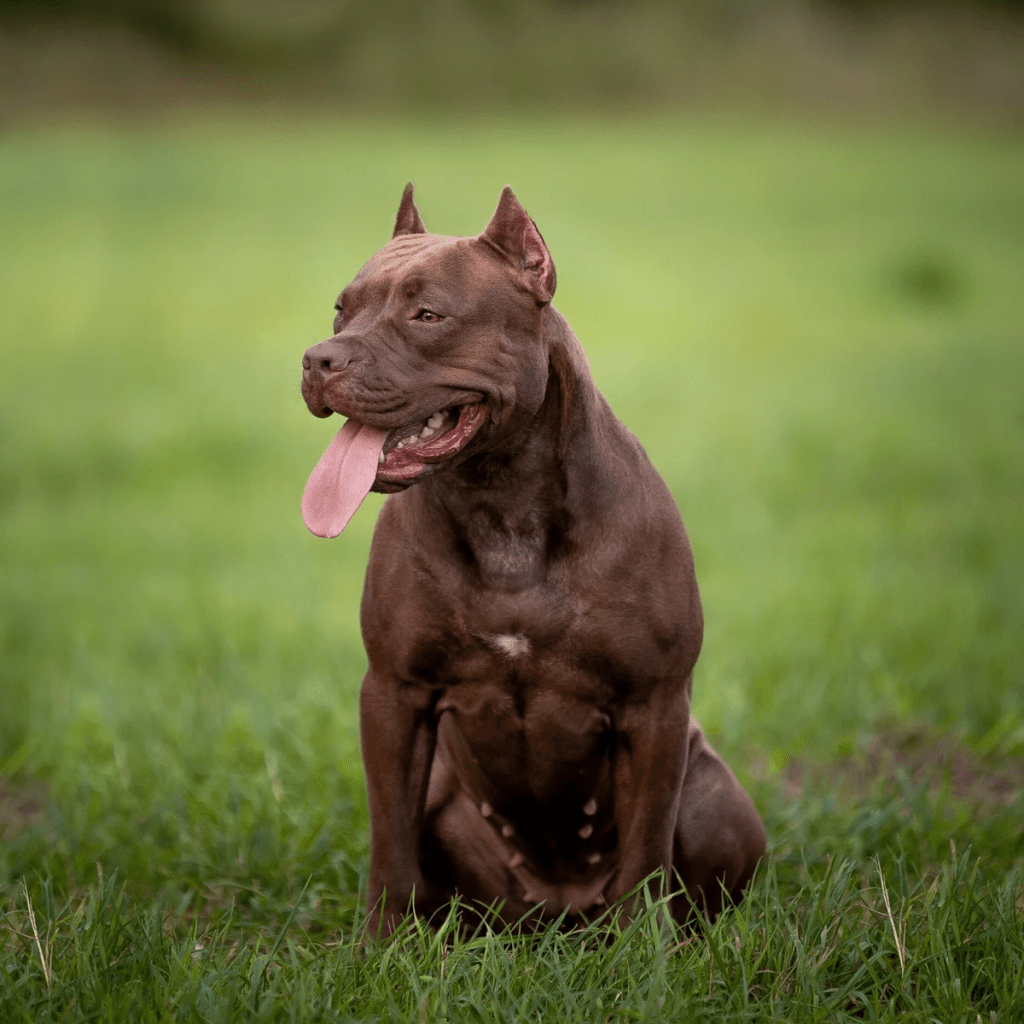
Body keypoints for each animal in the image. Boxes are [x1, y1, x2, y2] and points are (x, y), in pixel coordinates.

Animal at [299, 184, 765, 937]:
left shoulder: (654, 706)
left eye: (427, 315)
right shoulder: (394, 696)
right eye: (341, 309)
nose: (317, 359)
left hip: (714, 794)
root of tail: (560, 911)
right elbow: (389, 841)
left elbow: (647, 848)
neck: (504, 502)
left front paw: (647, 950)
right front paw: (379, 946)